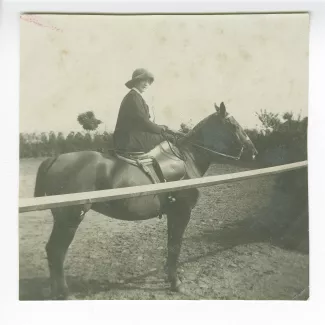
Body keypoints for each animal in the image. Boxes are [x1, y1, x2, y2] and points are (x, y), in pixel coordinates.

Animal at [32, 102, 256, 298]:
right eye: (233, 125)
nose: (253, 151)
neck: (187, 158)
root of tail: (55, 158)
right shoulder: (182, 212)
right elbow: (175, 245)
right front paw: (175, 283)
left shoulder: (173, 214)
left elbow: (171, 244)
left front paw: (170, 277)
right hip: (69, 220)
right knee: (57, 251)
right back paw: (63, 293)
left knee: (52, 250)